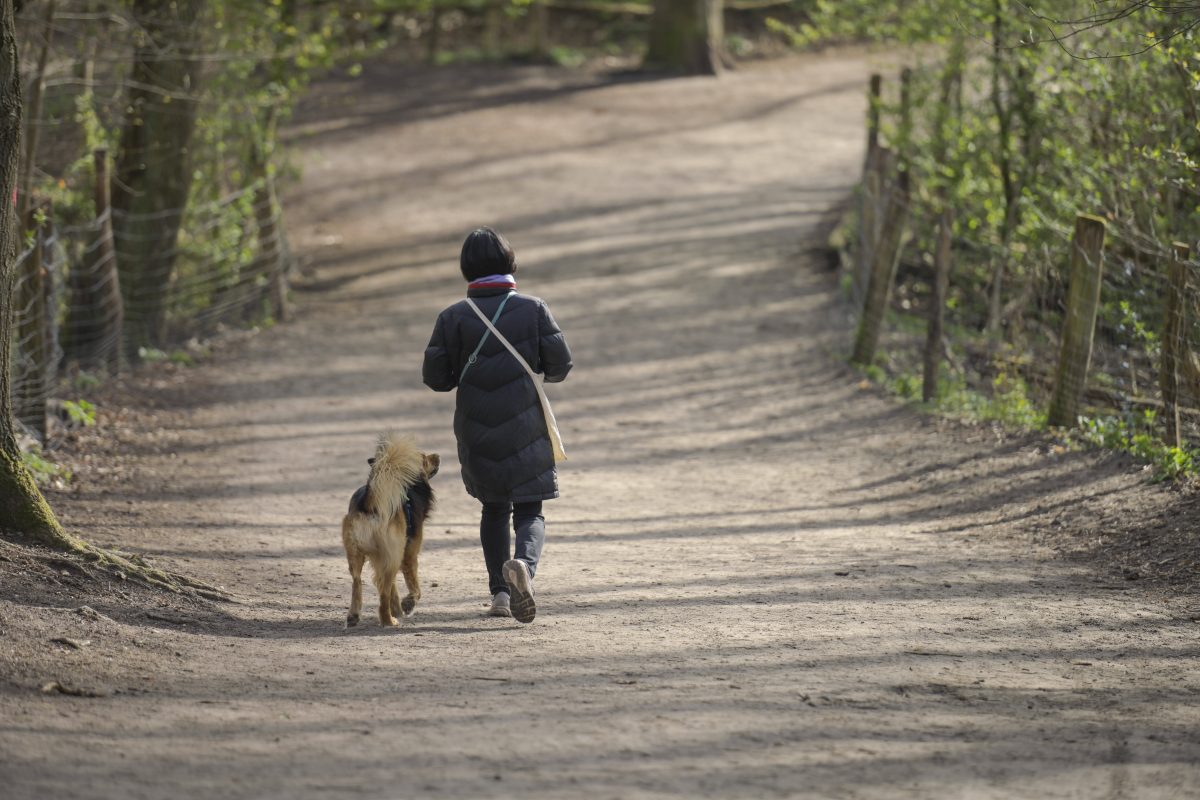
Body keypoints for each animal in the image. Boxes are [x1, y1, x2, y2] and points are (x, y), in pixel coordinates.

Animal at [340, 431, 439, 623]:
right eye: (425, 458)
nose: (438, 456)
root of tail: (370, 503)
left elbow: (394, 589)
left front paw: (398, 609)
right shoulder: (408, 554)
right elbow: (414, 586)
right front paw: (408, 604)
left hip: (357, 554)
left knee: (358, 582)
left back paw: (354, 615)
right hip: (392, 557)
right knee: (383, 594)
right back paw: (388, 621)